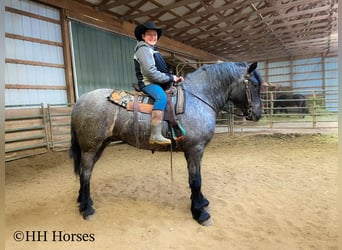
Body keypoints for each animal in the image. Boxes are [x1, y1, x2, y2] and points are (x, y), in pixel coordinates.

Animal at [69, 62, 262, 225]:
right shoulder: (194, 149)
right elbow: (196, 180)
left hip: (99, 145)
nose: (258, 114)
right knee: (85, 173)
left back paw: (83, 200)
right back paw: (87, 209)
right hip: (90, 147)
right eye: (253, 85)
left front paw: (201, 202)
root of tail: (79, 102)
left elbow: (196, 177)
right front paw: (200, 213)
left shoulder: (196, 151)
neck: (199, 98)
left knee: (85, 172)